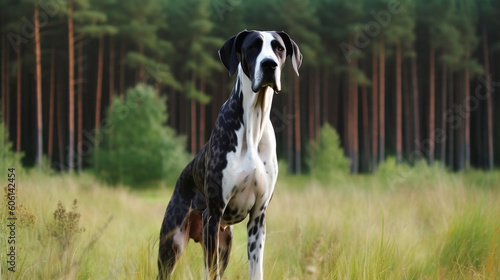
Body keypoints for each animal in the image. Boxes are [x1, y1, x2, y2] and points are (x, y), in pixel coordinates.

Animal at [158, 30, 302, 280]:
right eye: (253, 46)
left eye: (279, 48)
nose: (269, 64)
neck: (253, 123)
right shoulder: (213, 215)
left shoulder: (258, 218)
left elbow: (256, 269)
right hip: (172, 245)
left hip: (224, 242)